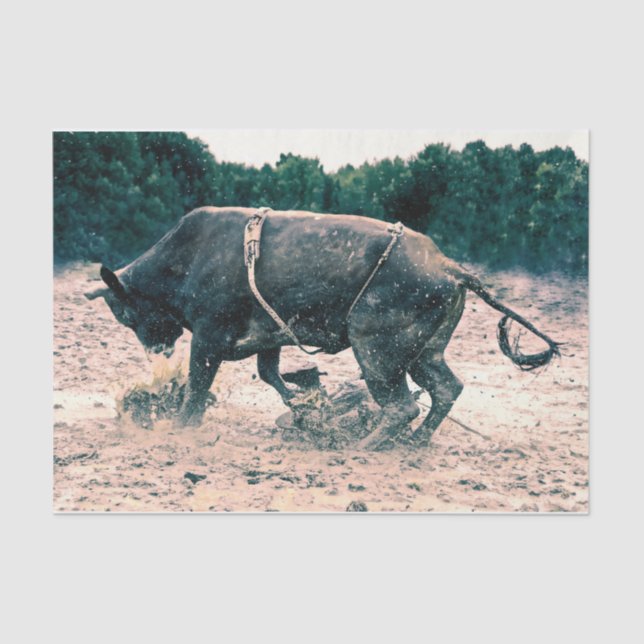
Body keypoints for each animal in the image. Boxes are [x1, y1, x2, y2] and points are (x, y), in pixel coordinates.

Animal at [85, 206, 560, 450]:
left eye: (125, 314)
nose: (157, 350)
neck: (189, 256)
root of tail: (448, 266)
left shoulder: (208, 337)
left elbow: (198, 387)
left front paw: (181, 425)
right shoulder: (270, 337)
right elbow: (270, 374)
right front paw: (305, 404)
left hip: (376, 351)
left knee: (401, 406)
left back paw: (362, 446)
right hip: (423, 353)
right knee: (445, 389)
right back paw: (414, 442)